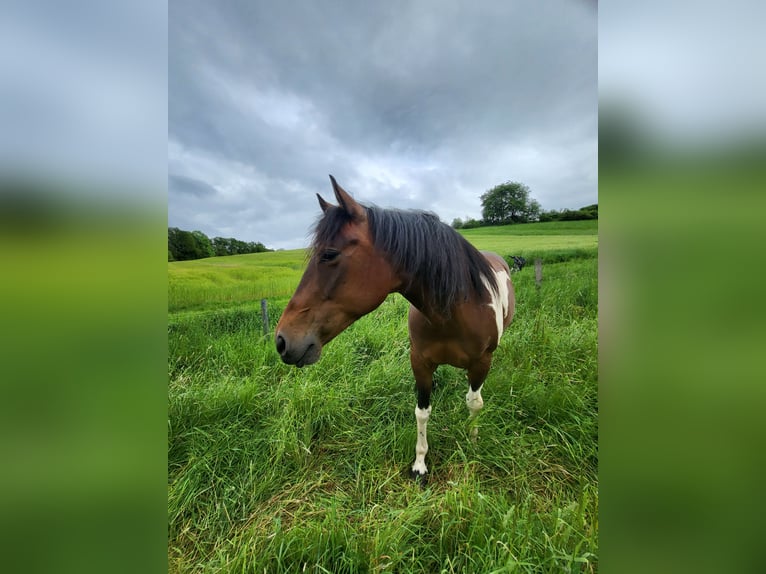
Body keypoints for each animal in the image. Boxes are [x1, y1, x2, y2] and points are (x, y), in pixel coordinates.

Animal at [275, 175, 515, 478]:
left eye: (329, 254)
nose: (281, 340)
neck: (454, 313)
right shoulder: (420, 362)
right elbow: (422, 411)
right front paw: (420, 465)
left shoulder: (482, 362)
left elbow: (475, 403)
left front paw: (472, 441)